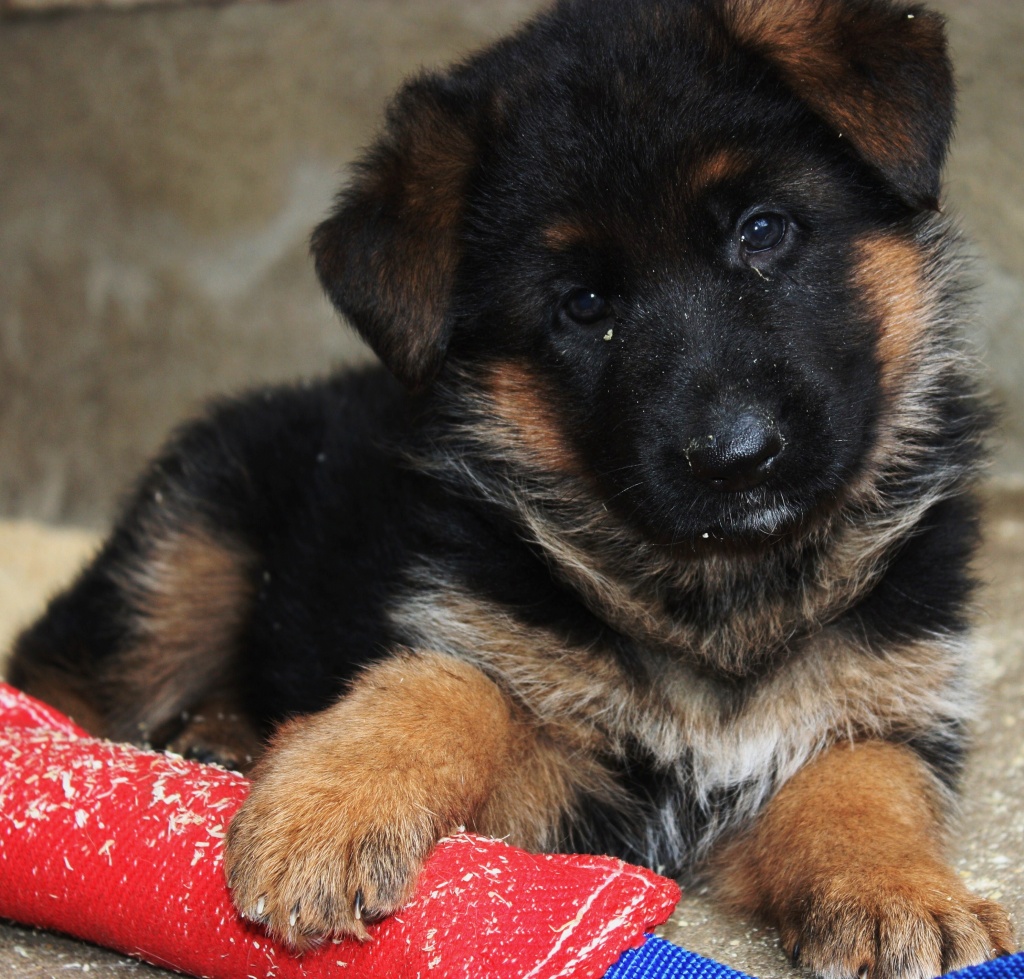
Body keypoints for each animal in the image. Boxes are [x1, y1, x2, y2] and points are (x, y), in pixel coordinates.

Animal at [8, 1, 1015, 979]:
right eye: (583, 306)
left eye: (764, 231)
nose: (734, 458)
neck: (716, 596)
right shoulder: (550, 772)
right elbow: (447, 686)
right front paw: (327, 805)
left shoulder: (877, 706)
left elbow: (863, 787)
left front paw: (903, 891)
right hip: (183, 555)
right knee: (61, 675)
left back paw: (219, 734)